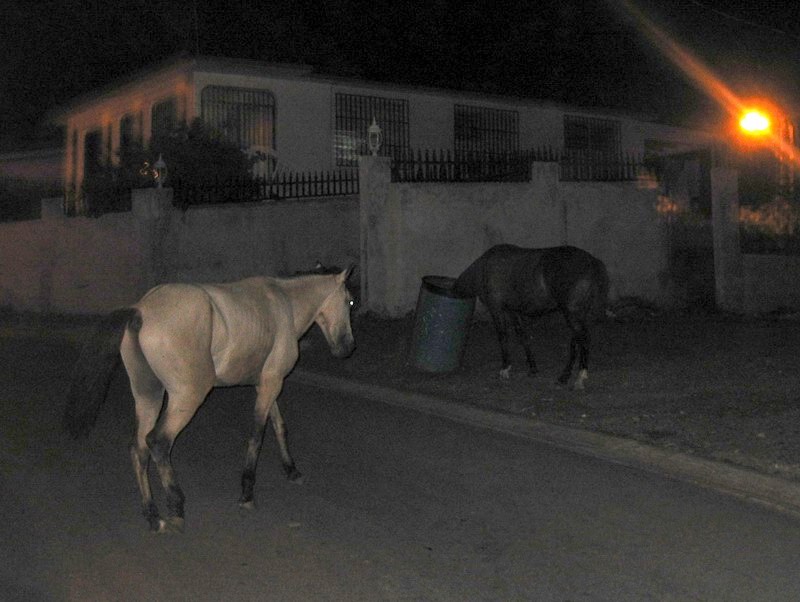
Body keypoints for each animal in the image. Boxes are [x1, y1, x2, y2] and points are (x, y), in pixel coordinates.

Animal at [66, 266, 356, 528]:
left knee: (138, 448)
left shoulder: (267, 383)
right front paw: (247, 493)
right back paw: (176, 506)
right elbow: (257, 435)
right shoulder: (272, 382)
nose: (348, 348)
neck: (285, 303)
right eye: (350, 302)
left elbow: (279, 426)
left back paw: (152, 515)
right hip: (188, 395)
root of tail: (141, 310)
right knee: (158, 442)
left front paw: (291, 470)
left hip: (148, 394)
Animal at [454, 244, 608, 390]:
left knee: (584, 340)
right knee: (576, 341)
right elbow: (523, 336)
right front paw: (533, 368)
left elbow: (503, 336)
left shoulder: (496, 308)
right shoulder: (513, 310)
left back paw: (579, 378)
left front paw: (505, 368)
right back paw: (564, 377)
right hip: (579, 314)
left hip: (572, 313)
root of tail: (594, 262)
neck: (483, 267)